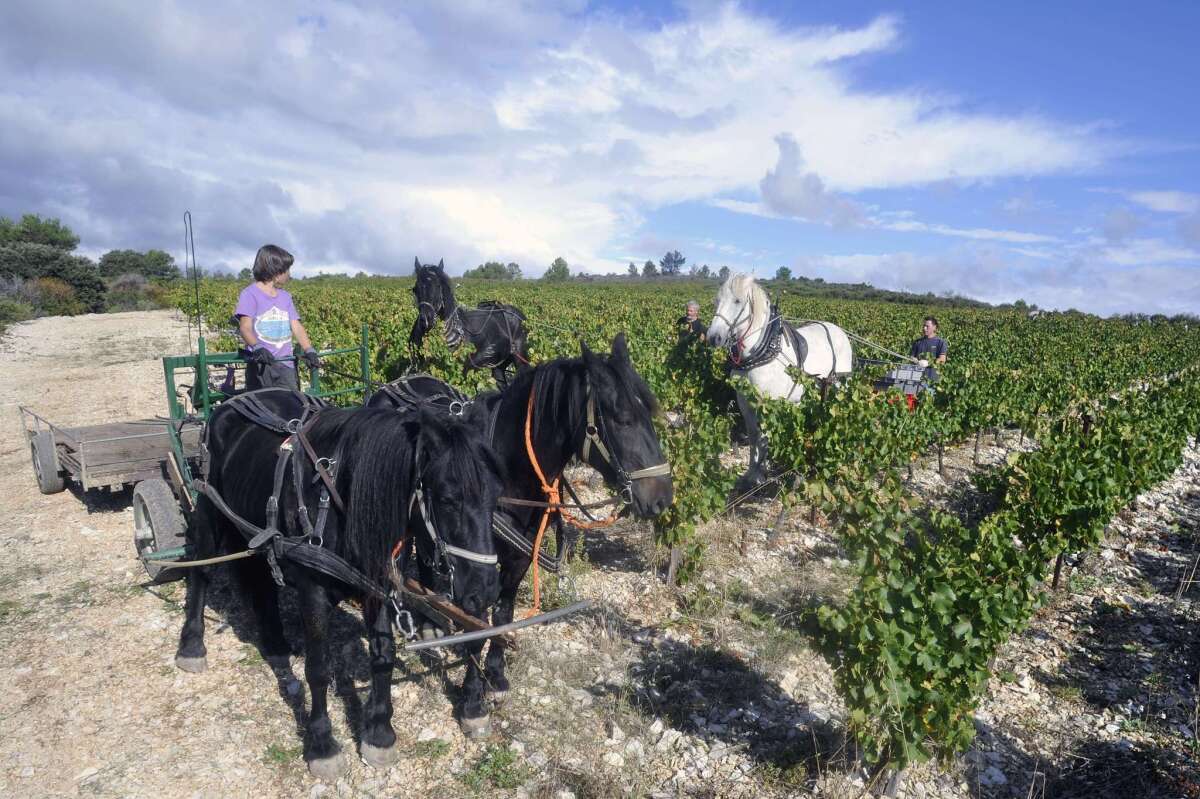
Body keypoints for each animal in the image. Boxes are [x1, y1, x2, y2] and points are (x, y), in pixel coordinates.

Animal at [172, 391, 501, 777]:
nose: (486, 590)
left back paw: (275, 644)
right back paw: (192, 645)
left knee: (262, 582)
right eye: (449, 499)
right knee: (202, 570)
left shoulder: (378, 583)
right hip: (211, 510)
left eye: (496, 496)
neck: (339, 498)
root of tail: (232, 400)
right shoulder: (313, 592)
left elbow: (383, 656)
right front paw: (322, 744)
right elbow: (318, 669)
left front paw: (379, 733)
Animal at [369, 331, 672, 715]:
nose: (662, 496)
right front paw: (472, 700)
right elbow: (478, 622)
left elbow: (504, 613)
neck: (506, 474)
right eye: (620, 418)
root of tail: (395, 385)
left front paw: (496, 674)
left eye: (649, 411)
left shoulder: (519, 557)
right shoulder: (476, 564)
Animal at [408, 256, 530, 386]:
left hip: (519, 356)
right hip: (499, 364)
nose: (426, 320)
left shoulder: (461, 369)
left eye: (438, 286)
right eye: (415, 289)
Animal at [700, 273, 854, 484]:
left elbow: (763, 438)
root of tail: (839, 331)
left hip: (840, 387)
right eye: (717, 300)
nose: (714, 337)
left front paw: (760, 476)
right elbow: (754, 436)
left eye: (738, 301)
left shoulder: (766, 404)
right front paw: (751, 472)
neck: (761, 350)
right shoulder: (745, 402)